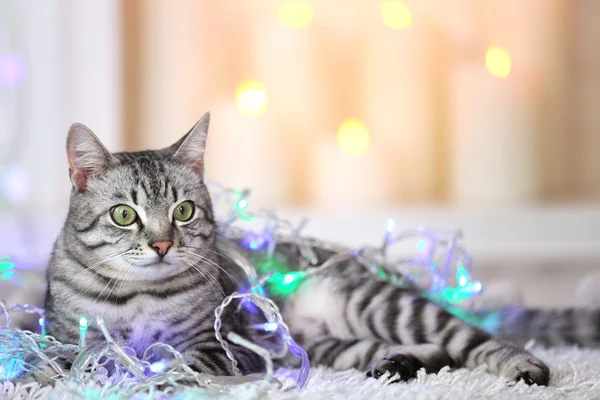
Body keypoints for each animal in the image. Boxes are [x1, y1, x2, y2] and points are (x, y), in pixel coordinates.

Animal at [45, 111, 596, 386]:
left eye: (183, 211)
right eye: (124, 215)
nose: (162, 244)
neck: (136, 298)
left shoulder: (219, 346)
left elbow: (173, 364)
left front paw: (142, 378)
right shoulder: (67, 337)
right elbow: (69, 361)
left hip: (378, 305)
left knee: (471, 339)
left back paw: (523, 367)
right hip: (326, 344)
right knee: (430, 352)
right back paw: (398, 365)